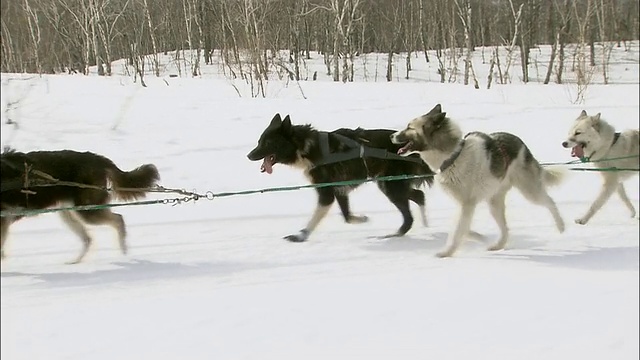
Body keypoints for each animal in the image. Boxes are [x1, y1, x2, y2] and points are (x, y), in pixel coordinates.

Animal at [1, 148, 160, 262]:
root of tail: (97, 158)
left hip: (87, 211)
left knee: (118, 219)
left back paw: (124, 252)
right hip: (70, 213)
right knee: (88, 239)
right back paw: (75, 262)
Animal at [246, 112, 436, 242]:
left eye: (268, 143)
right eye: (259, 141)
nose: (249, 155)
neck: (306, 147)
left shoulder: (327, 193)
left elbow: (317, 218)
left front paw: (301, 236)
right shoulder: (339, 190)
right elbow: (347, 216)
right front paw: (362, 219)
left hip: (390, 186)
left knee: (409, 216)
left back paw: (393, 235)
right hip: (390, 184)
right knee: (419, 196)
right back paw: (426, 226)